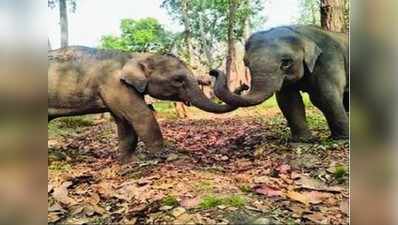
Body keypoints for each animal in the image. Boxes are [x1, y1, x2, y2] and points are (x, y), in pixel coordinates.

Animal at [49, 46, 236, 162]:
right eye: (178, 80)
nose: (212, 72)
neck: (134, 56)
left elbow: (124, 122)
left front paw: (128, 161)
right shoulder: (115, 85)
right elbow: (141, 115)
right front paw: (165, 156)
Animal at [211, 25, 348, 141]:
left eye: (286, 62)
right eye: (246, 62)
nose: (243, 86)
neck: (299, 31)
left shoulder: (328, 60)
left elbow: (324, 96)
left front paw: (342, 139)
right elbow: (289, 101)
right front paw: (303, 141)